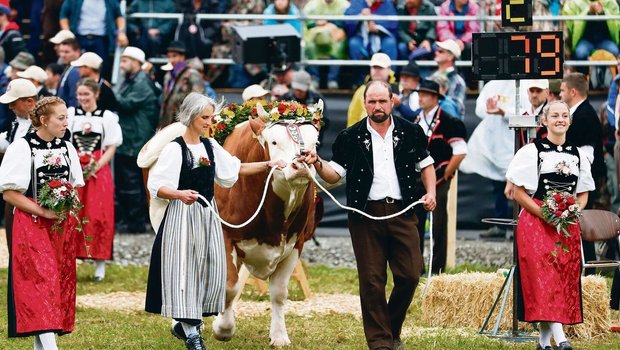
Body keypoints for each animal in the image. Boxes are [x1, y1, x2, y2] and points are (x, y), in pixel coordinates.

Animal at [212, 102, 322, 346]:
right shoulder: (225, 235)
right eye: (274, 142)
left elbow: (279, 293)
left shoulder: (295, 244)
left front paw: (279, 336)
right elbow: (229, 287)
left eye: (315, 144)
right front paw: (223, 329)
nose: (301, 163)